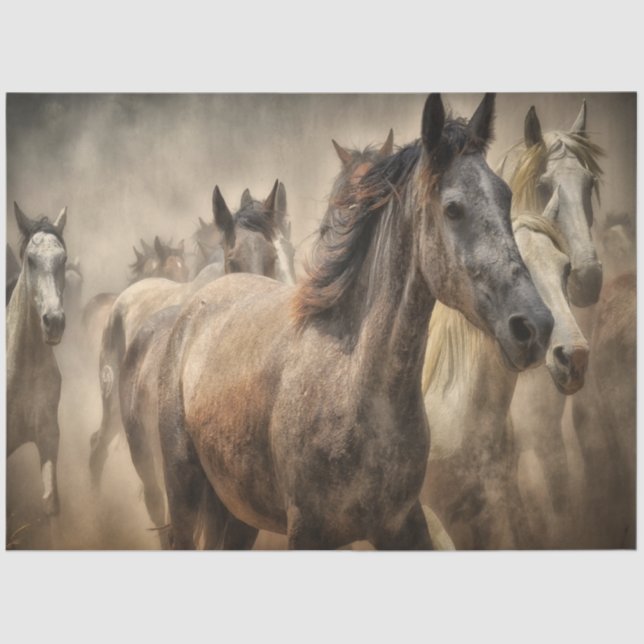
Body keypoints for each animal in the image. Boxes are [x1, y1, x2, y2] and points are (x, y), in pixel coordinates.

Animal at [156, 93, 553, 550]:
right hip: (183, 495)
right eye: (453, 208)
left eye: (506, 197)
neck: (354, 382)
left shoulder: (402, 525)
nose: (534, 327)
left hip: (239, 513)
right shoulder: (308, 533)